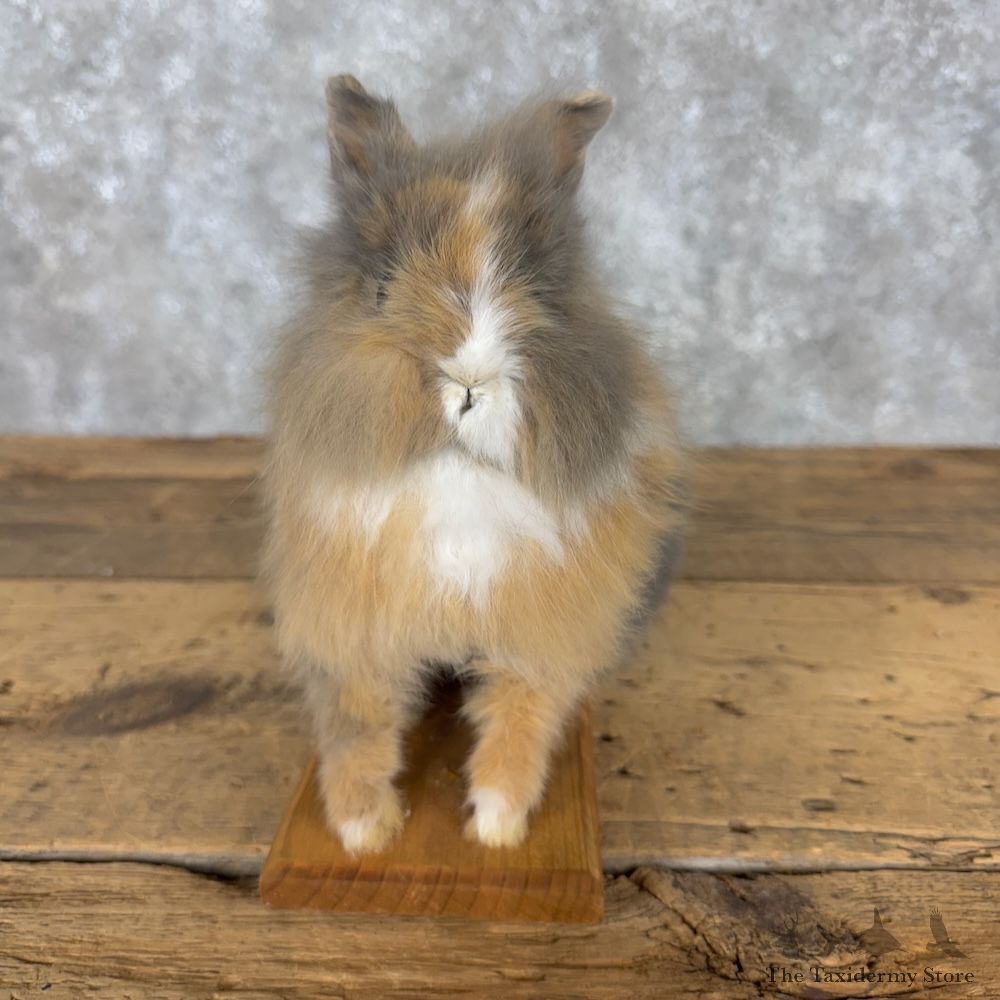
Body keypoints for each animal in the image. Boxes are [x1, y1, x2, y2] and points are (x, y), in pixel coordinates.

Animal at [261, 74, 685, 856]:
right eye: (381, 289)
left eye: (544, 295)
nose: (468, 381)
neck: (456, 493)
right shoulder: (350, 628)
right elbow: (357, 725)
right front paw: (363, 831)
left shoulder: (541, 634)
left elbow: (521, 720)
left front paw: (497, 825)